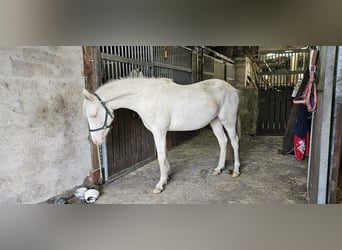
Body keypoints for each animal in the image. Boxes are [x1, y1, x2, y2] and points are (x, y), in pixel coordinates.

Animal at [82, 77, 240, 193]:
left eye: (93, 115)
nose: (96, 141)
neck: (146, 96)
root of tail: (232, 89)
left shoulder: (159, 131)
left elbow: (161, 157)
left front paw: (160, 184)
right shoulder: (160, 132)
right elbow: (164, 153)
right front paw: (167, 175)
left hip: (228, 120)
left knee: (234, 141)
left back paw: (236, 171)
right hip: (215, 121)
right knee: (223, 141)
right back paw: (219, 169)